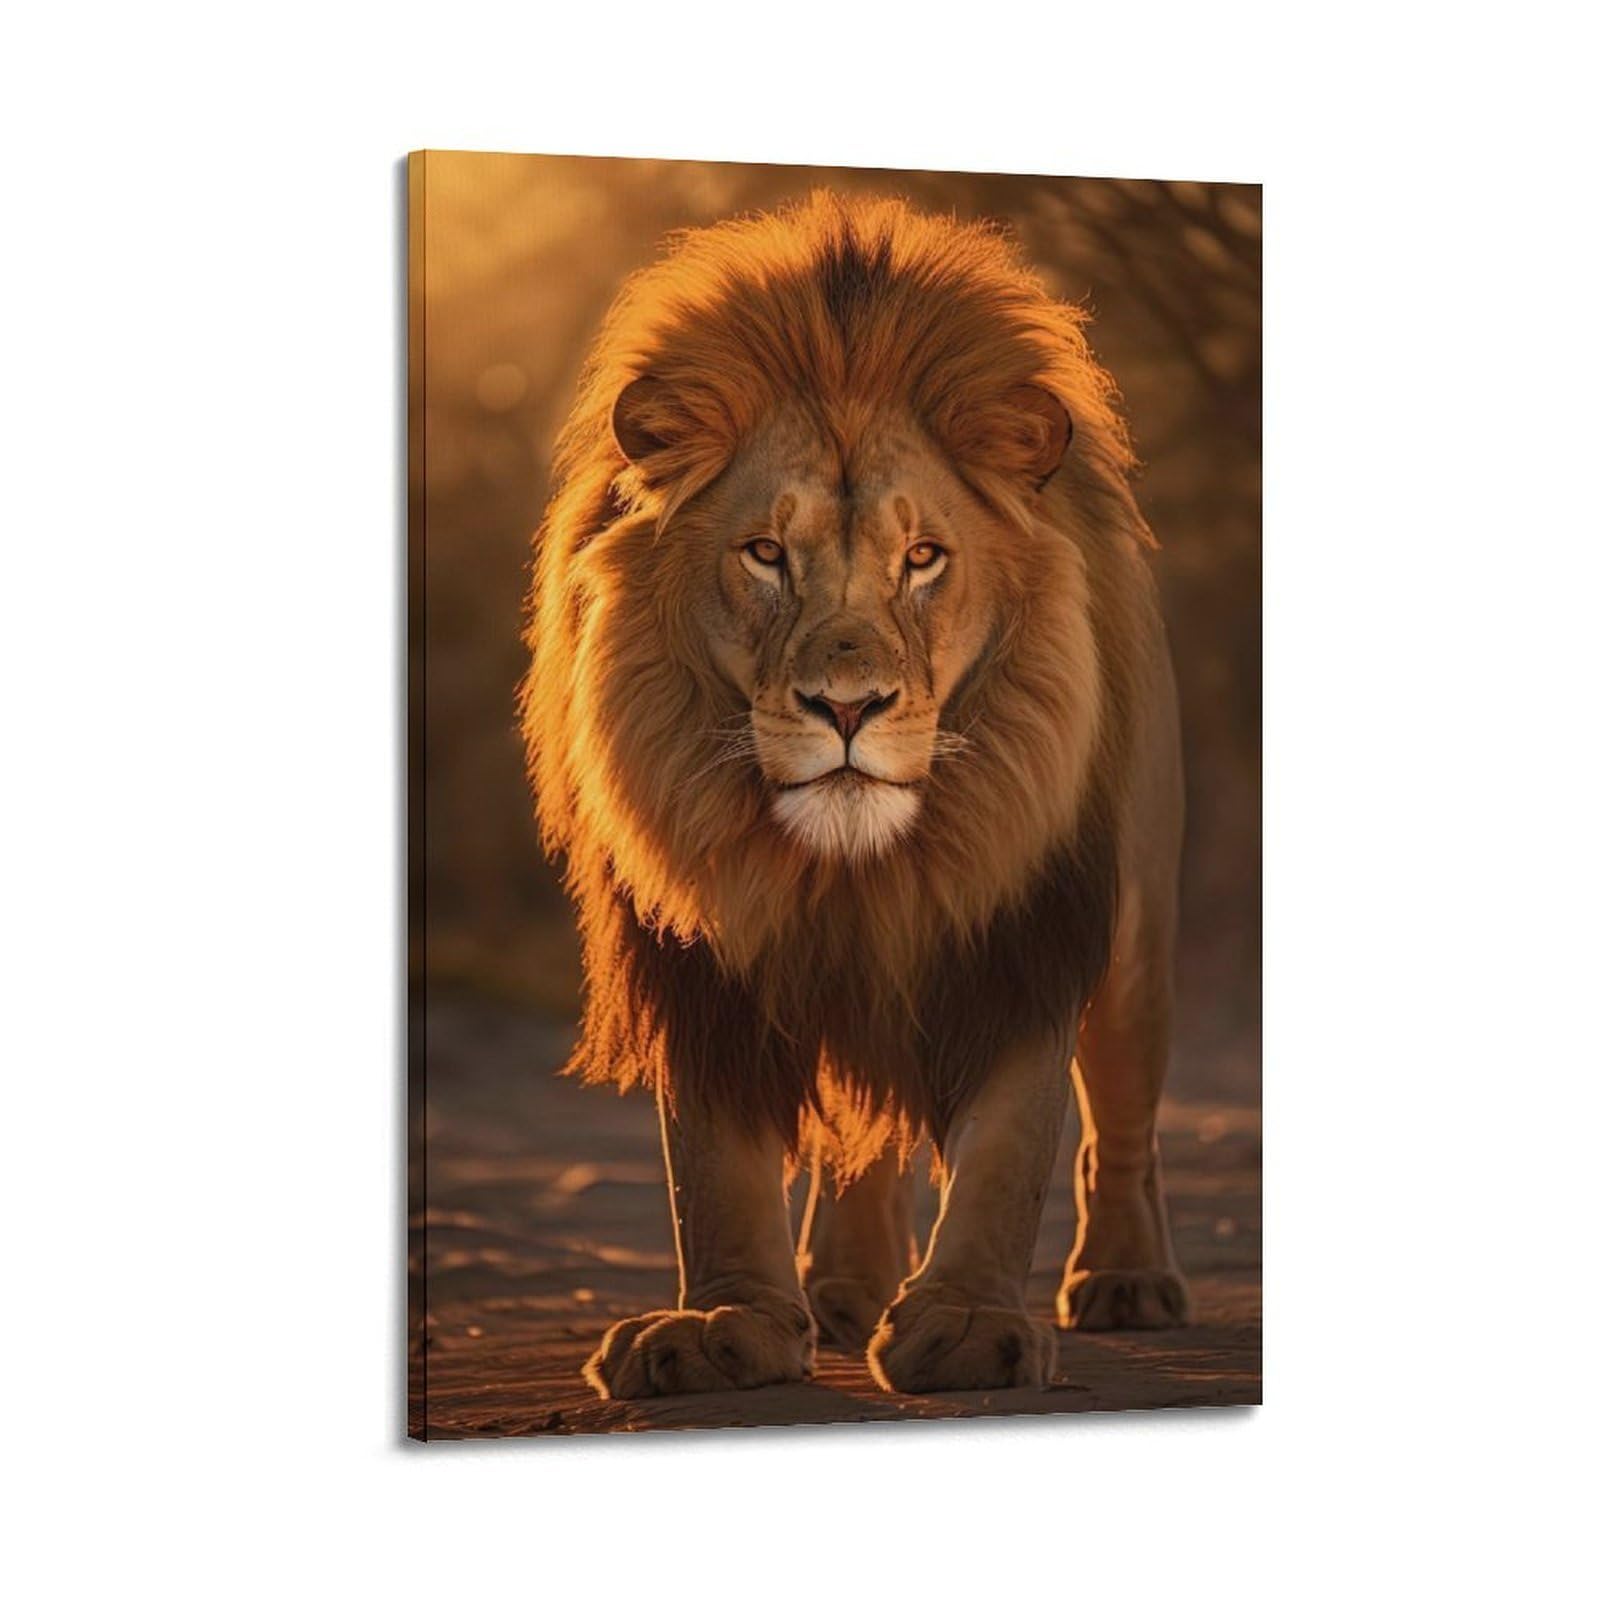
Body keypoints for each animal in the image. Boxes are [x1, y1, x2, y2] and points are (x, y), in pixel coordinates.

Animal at [521, 192, 1190, 1400]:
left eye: (923, 556)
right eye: (764, 553)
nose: (847, 705)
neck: (849, 866)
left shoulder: (1021, 922)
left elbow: (1014, 1139)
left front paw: (970, 1322)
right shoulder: (702, 941)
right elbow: (711, 1163)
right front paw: (725, 1321)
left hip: (1135, 933)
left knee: (1120, 1116)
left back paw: (1125, 1280)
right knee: (859, 1139)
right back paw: (842, 1290)